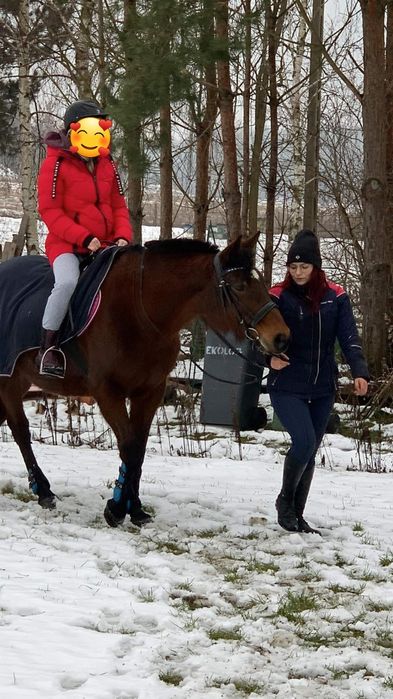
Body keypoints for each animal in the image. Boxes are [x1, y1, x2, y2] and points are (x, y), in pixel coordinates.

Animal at [0, 235, 288, 524]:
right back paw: (43, 490)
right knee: (21, 431)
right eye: (239, 287)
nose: (281, 336)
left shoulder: (150, 392)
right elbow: (129, 447)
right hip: (8, 383)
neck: (140, 312)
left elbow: (139, 448)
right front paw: (116, 507)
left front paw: (135, 507)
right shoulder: (108, 393)